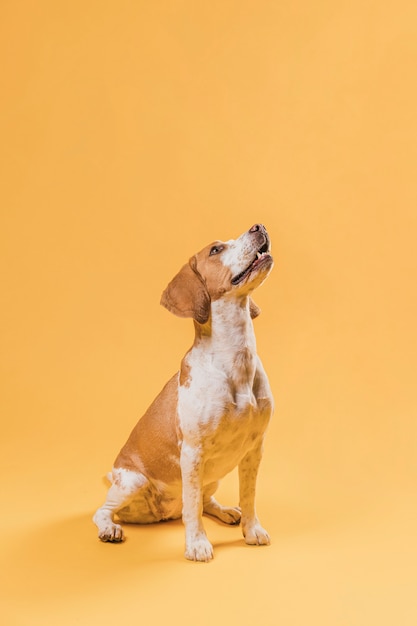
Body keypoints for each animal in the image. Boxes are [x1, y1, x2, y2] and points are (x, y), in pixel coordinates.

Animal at [92, 224, 272, 560]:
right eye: (215, 250)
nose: (258, 226)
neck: (236, 358)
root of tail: (163, 513)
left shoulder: (255, 448)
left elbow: (249, 495)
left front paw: (252, 530)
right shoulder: (193, 452)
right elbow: (193, 509)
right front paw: (197, 544)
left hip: (212, 478)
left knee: (204, 501)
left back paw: (226, 511)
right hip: (132, 481)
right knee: (103, 511)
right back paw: (109, 528)